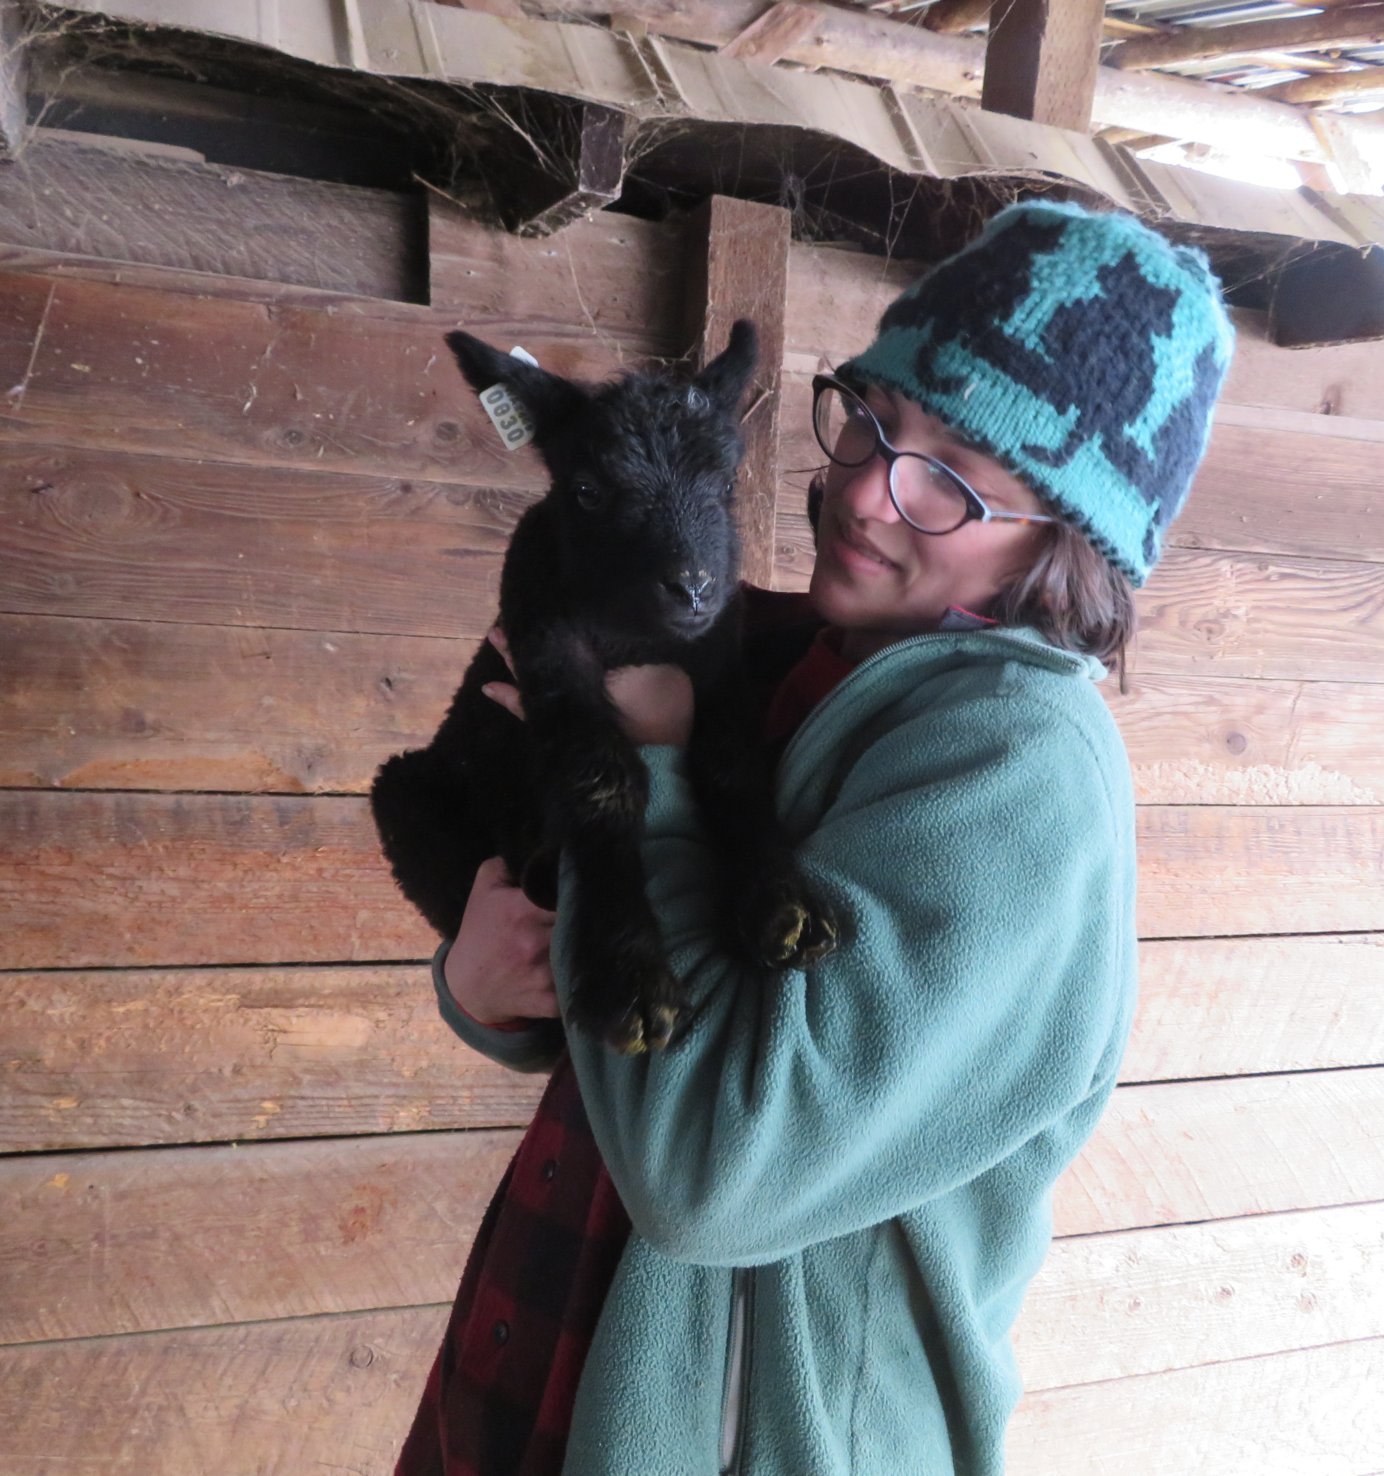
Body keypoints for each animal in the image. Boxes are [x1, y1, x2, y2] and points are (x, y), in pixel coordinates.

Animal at [370, 322, 837, 1054]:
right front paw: (631, 978)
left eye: (728, 479)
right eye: (587, 489)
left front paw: (782, 906)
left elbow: (729, 766)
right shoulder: (548, 652)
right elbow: (604, 778)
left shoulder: (718, 661)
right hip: (407, 796)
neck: (634, 636)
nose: (692, 588)